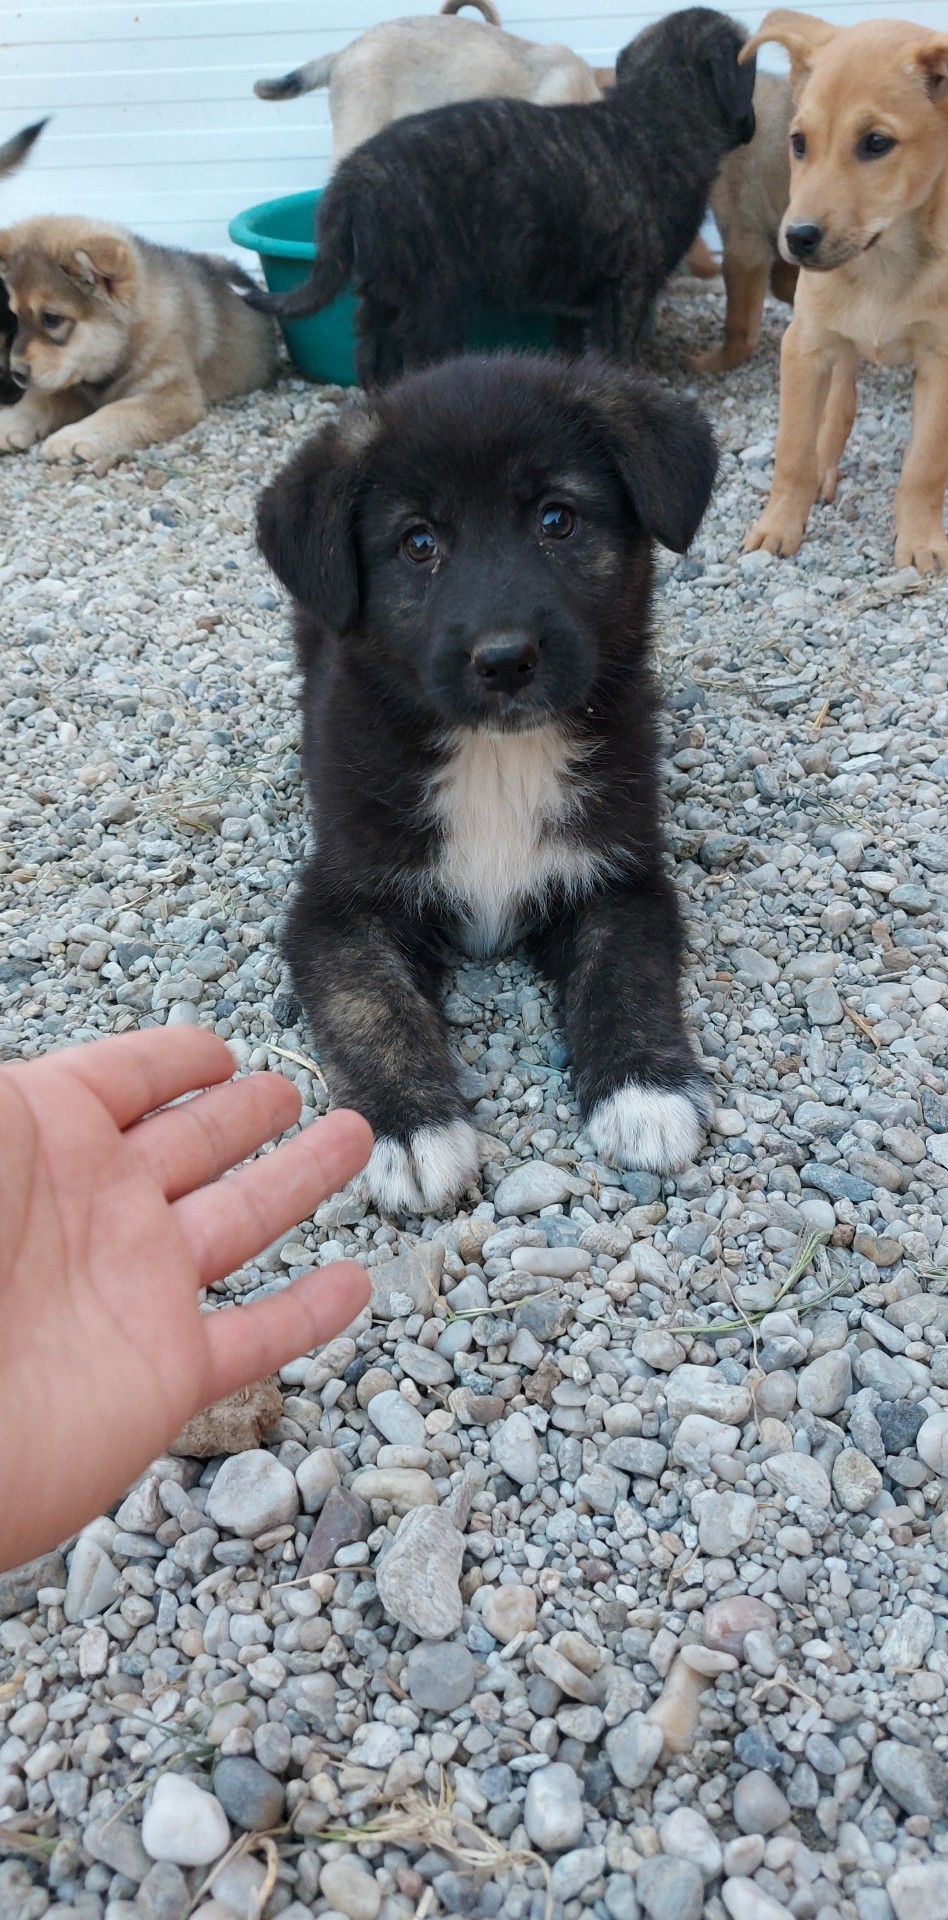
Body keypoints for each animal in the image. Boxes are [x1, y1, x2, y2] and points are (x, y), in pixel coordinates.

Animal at [0, 216, 278, 470]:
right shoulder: (69, 382)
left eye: (52, 319)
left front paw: (70, 437)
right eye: (15, 316)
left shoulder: (173, 395)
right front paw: (10, 421)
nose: (16, 373)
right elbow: (37, 401)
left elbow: (117, 411)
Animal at [245, 7, 756, 385]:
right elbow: (618, 361)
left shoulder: (577, 305)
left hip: (381, 296)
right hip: (436, 301)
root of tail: (354, 176)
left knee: (374, 363)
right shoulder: (625, 293)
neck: (653, 114)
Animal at [259, 353, 717, 1205]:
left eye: (556, 519)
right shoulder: (339, 902)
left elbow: (627, 975)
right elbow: (370, 1004)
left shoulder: (618, 872)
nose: (505, 659)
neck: (498, 759)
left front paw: (644, 1093)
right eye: (418, 541)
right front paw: (409, 1129)